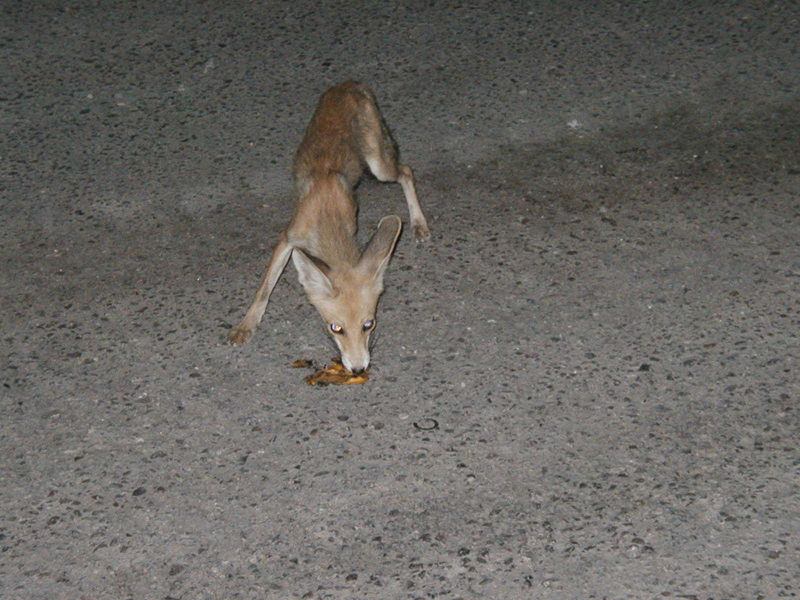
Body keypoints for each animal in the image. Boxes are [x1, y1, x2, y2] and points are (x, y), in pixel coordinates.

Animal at [227, 81, 430, 373]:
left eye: (369, 325)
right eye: (335, 328)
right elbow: (263, 289)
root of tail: (352, 83)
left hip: (378, 167)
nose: (358, 370)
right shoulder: (288, 237)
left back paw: (418, 222)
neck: (327, 212)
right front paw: (246, 325)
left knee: (406, 171)